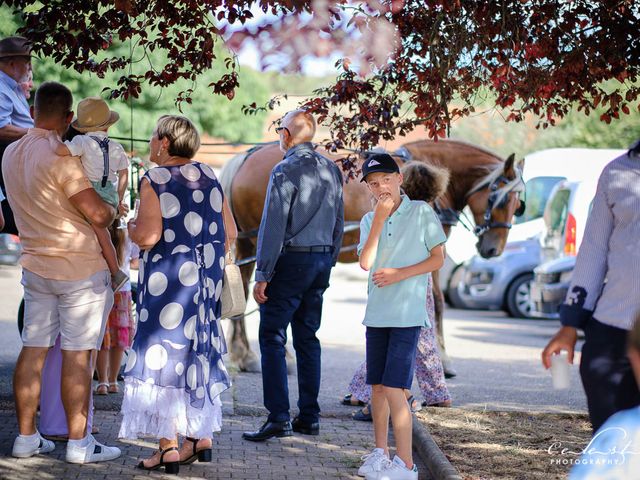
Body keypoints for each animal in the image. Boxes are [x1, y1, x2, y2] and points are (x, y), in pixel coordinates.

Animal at [222, 139, 524, 372]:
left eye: (518, 203)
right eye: (498, 198)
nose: (493, 250)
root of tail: (246, 157)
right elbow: (438, 301)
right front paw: (443, 358)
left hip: (249, 244)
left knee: (244, 290)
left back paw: (245, 354)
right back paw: (276, 355)